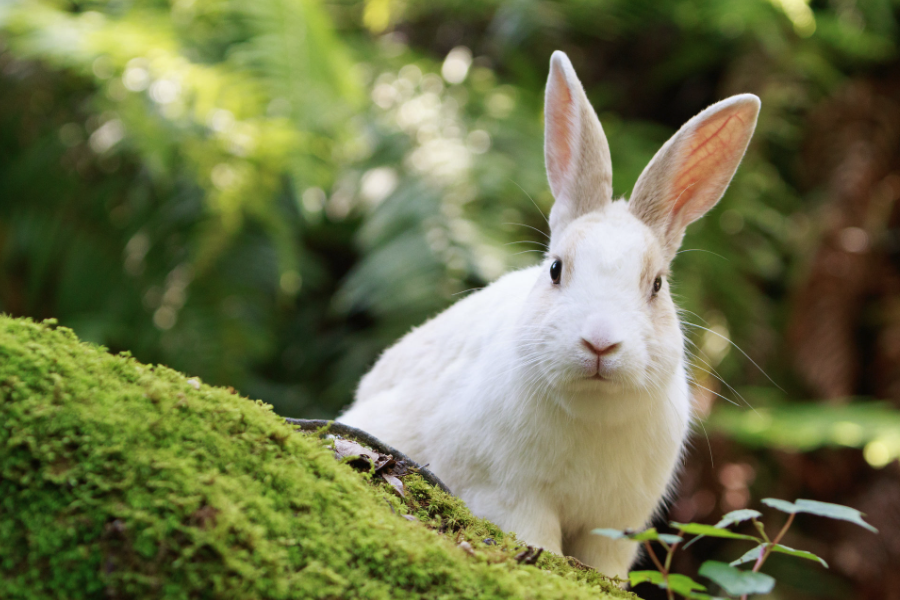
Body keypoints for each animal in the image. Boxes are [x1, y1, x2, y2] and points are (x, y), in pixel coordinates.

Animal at [340, 52, 760, 580]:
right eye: (556, 269)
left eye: (657, 286)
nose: (600, 342)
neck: (593, 410)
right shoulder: (510, 496)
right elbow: (535, 540)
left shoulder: (616, 526)